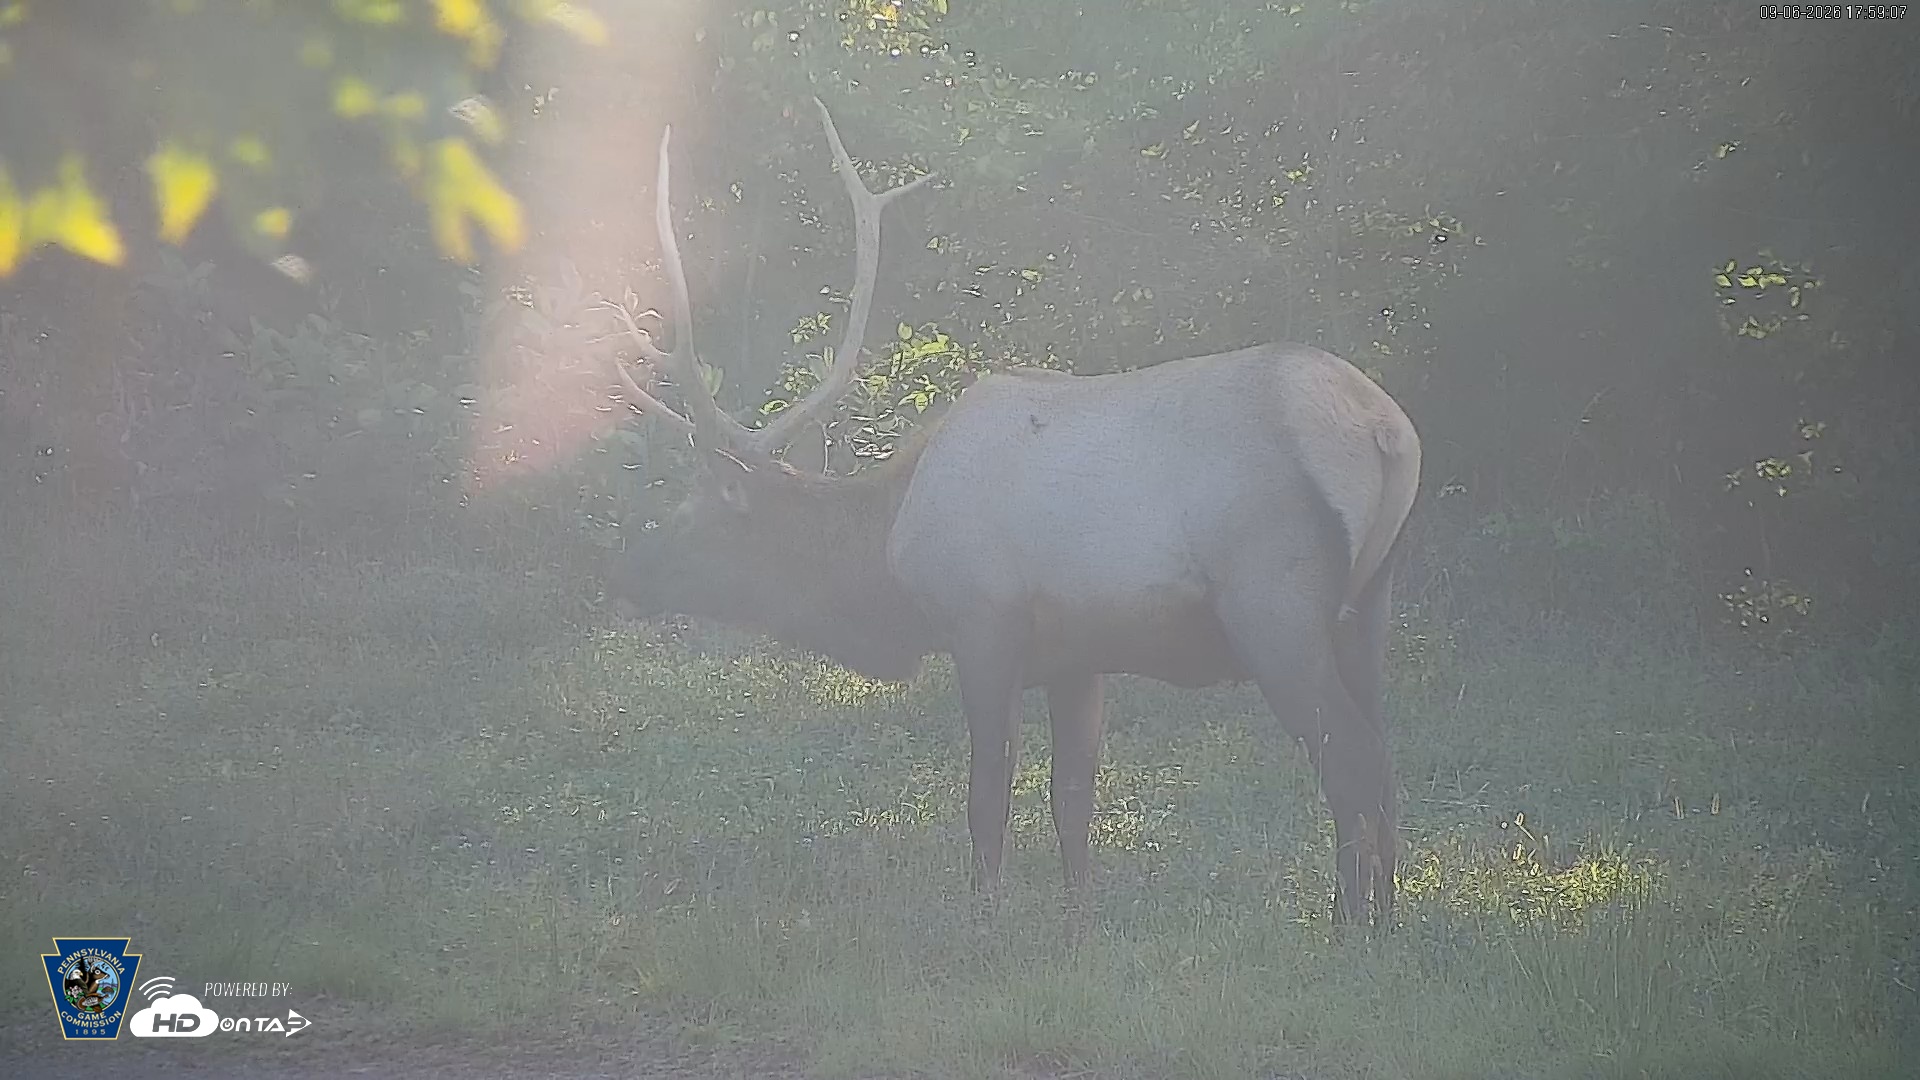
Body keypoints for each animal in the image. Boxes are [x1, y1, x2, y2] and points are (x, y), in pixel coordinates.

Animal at [598, 98, 1421, 926]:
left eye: (692, 516)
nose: (624, 574)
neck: (886, 558)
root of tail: (1386, 432)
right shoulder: (1078, 655)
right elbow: (1072, 799)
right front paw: (1078, 919)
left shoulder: (982, 623)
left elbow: (987, 800)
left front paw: (987, 921)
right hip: (1369, 606)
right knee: (1384, 763)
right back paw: (1388, 915)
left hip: (1274, 603)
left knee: (1350, 764)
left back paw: (1351, 926)